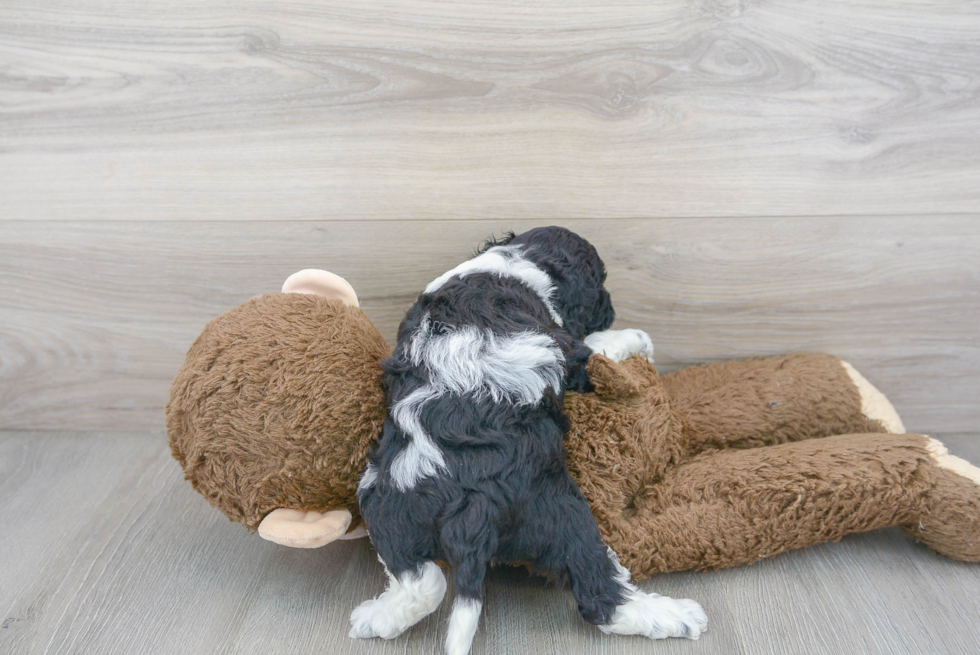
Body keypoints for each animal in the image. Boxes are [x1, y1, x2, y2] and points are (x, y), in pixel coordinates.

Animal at [350, 228, 704, 652]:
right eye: (601, 284)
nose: (611, 308)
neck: (517, 262)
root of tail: (477, 501)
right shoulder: (574, 350)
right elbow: (601, 346)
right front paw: (637, 338)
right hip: (555, 512)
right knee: (596, 590)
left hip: (389, 500)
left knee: (423, 581)